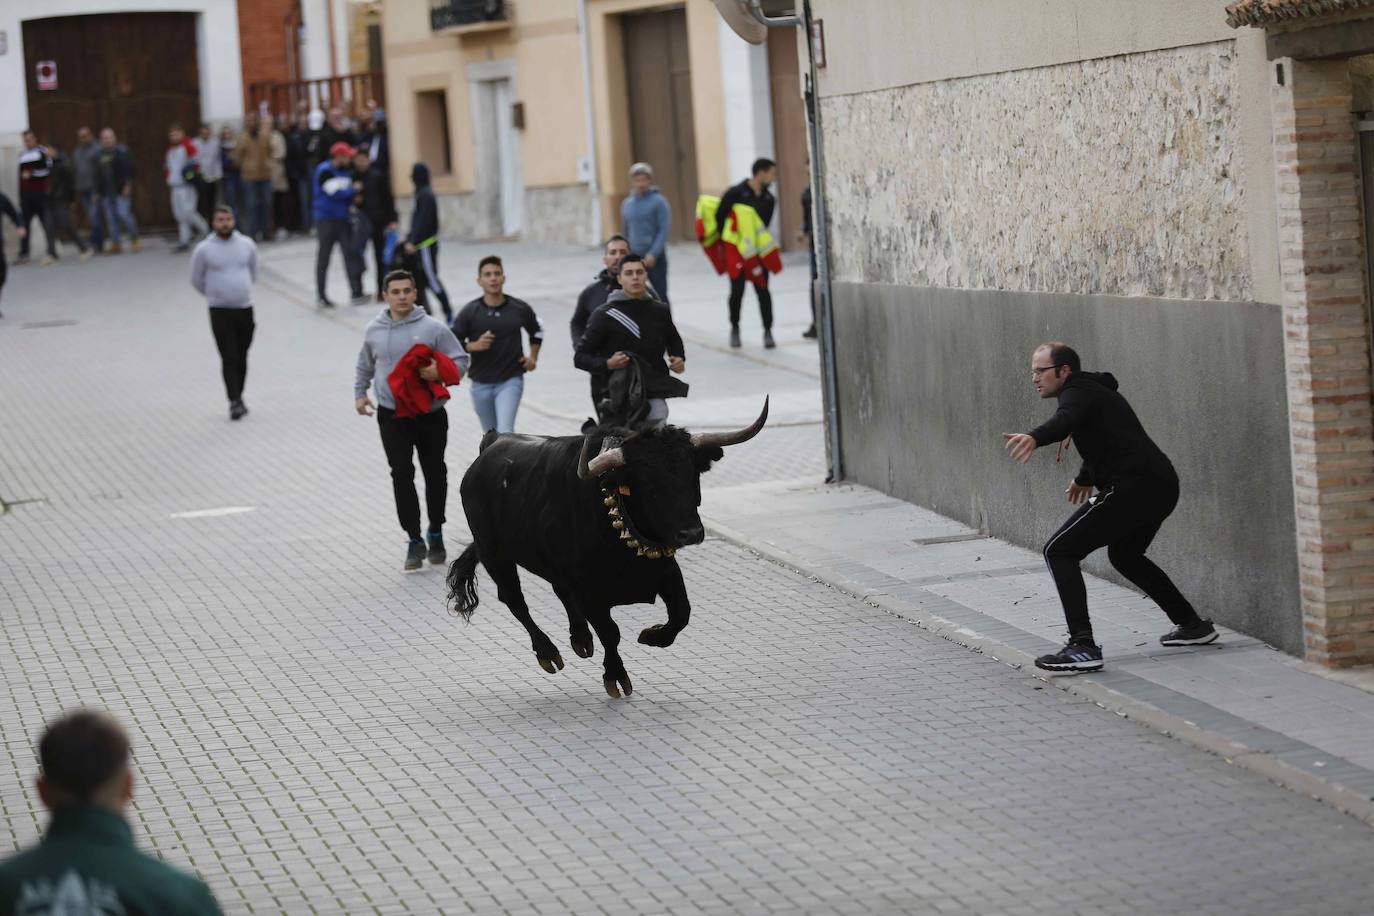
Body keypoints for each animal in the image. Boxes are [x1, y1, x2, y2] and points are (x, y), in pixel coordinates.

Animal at [450, 398, 774, 694]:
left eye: (691, 474)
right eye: (650, 484)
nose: (691, 533)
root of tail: (492, 442)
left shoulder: (667, 571)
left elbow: (681, 612)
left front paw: (652, 635)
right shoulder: (591, 594)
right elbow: (611, 633)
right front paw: (616, 676)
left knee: (558, 591)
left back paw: (581, 639)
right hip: (494, 554)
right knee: (514, 600)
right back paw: (548, 653)